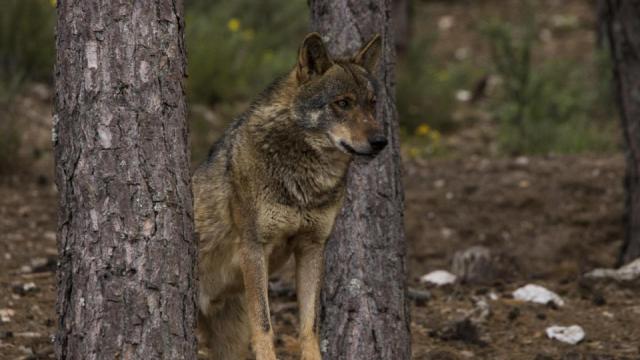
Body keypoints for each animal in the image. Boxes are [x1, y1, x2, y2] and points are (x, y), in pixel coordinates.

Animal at [192, 32, 388, 358]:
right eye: (343, 103)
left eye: (372, 104)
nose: (381, 141)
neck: (306, 182)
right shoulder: (253, 247)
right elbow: (265, 327)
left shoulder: (312, 247)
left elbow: (309, 327)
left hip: (230, 342)